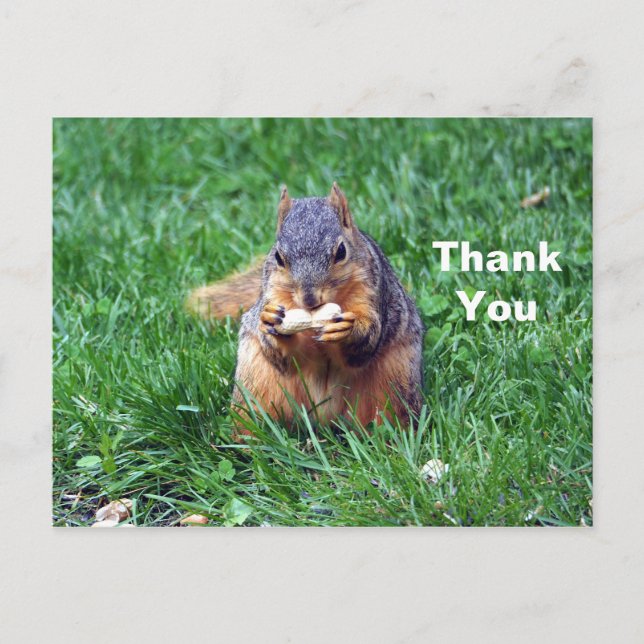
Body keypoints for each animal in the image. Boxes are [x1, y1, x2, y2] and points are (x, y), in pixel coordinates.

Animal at [187, 183, 424, 431]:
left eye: (341, 252)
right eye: (278, 257)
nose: (310, 299)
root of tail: (323, 419)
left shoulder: (372, 293)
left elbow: (366, 342)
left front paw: (348, 329)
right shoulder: (273, 292)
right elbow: (283, 357)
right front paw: (271, 322)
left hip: (393, 382)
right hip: (257, 383)